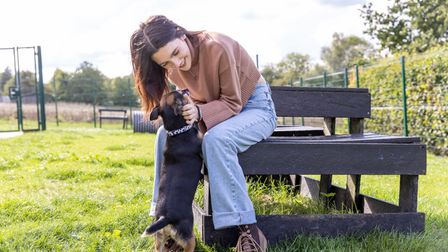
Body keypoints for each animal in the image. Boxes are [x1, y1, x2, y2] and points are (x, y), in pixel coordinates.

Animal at [141, 89, 202, 251]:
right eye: (180, 93)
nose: (186, 89)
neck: (177, 131)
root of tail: (166, 217)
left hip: (159, 239)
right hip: (189, 238)